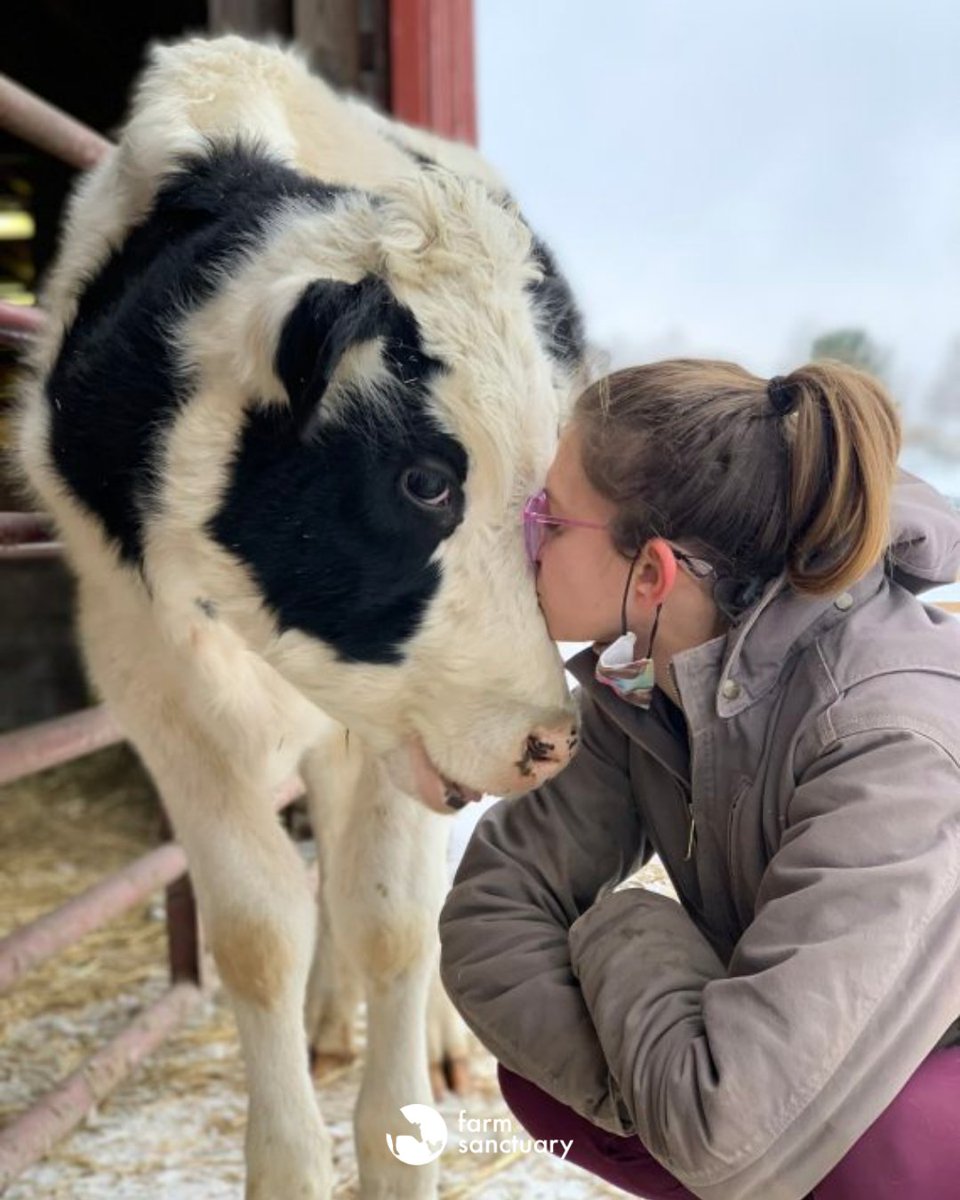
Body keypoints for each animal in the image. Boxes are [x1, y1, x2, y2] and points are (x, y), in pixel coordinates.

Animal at [15, 35, 586, 1199]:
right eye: (424, 482)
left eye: (548, 489)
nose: (551, 739)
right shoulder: (148, 675)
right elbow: (257, 930)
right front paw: (289, 1158)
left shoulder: (407, 726)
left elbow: (397, 922)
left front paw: (399, 1147)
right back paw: (327, 1021)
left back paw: (443, 1040)